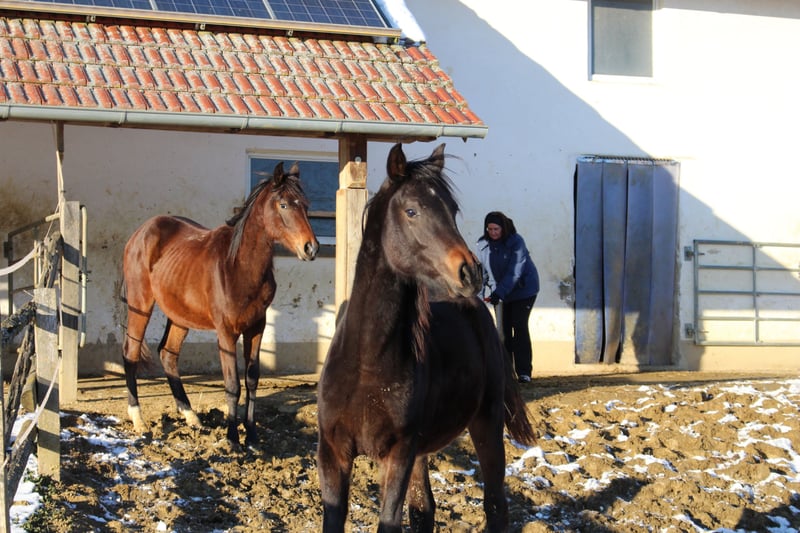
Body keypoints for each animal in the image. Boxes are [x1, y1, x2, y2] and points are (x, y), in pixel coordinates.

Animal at [121, 161, 318, 449]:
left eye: (305, 205)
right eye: (283, 205)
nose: (311, 248)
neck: (238, 266)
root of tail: (140, 233)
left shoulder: (257, 327)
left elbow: (252, 379)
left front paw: (252, 435)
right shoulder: (226, 332)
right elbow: (232, 384)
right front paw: (233, 438)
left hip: (179, 315)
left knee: (168, 354)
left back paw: (192, 417)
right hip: (140, 304)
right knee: (131, 353)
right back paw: (139, 420)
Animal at [316, 143, 536, 532]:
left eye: (453, 210)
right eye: (411, 211)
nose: (471, 272)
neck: (367, 363)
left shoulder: (398, 454)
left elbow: (389, 521)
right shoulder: (333, 453)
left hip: (486, 422)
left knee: (496, 504)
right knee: (424, 509)